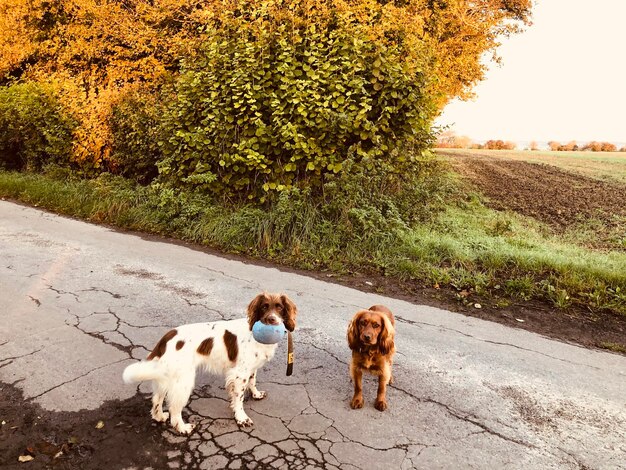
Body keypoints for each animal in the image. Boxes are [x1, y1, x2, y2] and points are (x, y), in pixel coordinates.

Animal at [124, 294, 298, 434]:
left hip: (166, 377)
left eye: (279, 307)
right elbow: (239, 397)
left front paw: (256, 394)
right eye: (264, 307)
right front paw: (241, 418)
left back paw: (159, 416)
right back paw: (183, 428)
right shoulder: (240, 373)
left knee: (157, 400)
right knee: (174, 408)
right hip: (183, 381)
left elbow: (252, 381)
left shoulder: (250, 368)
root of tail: (166, 338)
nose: (271, 320)